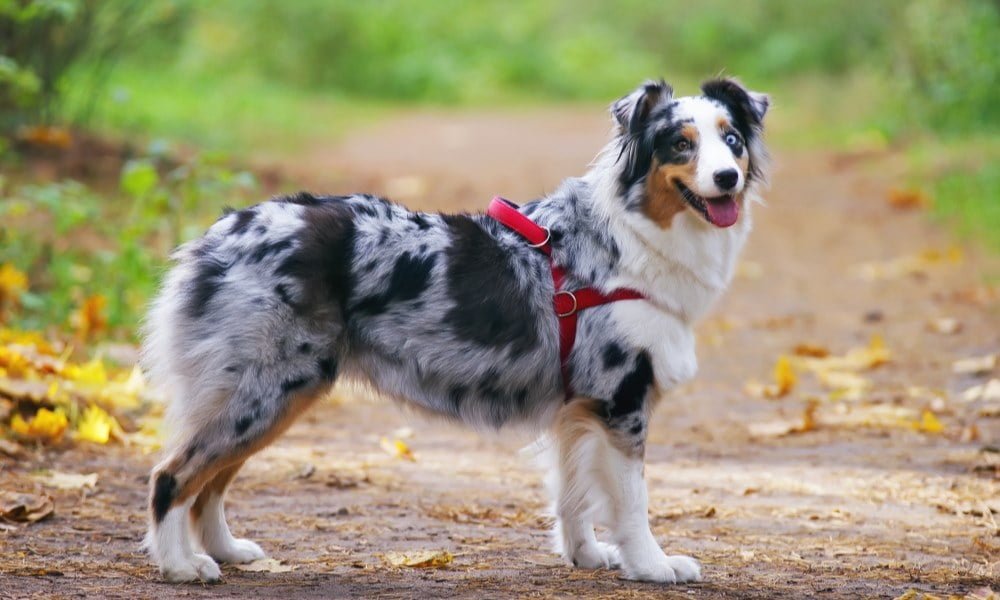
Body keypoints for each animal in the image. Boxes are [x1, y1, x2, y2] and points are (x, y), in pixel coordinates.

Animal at [141, 77, 768, 584]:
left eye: (733, 140)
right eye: (680, 144)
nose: (727, 178)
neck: (631, 240)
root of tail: (219, 233)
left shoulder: (578, 408)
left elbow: (573, 497)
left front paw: (585, 556)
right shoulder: (621, 400)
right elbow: (632, 502)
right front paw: (653, 566)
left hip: (272, 393)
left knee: (211, 482)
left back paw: (226, 551)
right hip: (269, 387)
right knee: (174, 476)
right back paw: (181, 565)